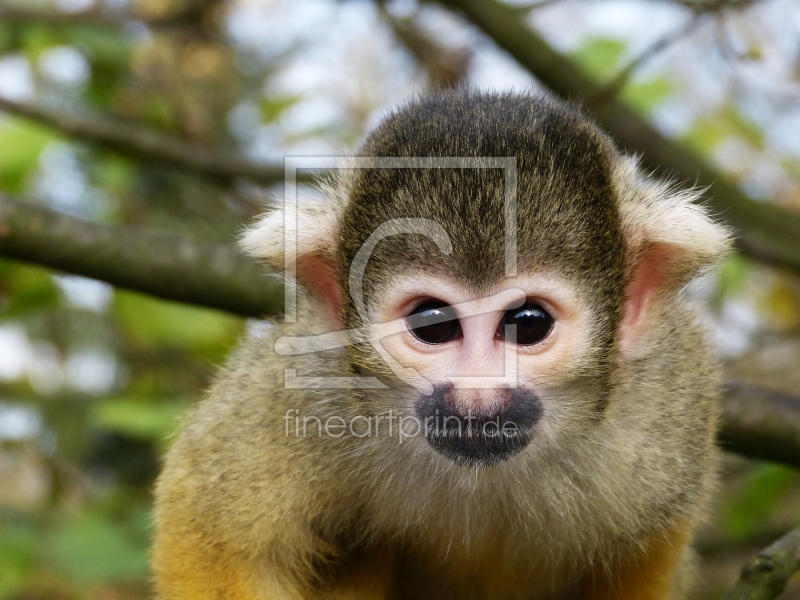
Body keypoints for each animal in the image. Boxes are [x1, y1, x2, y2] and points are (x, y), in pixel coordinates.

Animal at [150, 90, 732, 600]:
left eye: (527, 323)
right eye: (433, 324)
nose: (476, 399)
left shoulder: (669, 410)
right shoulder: (309, 382)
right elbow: (210, 524)